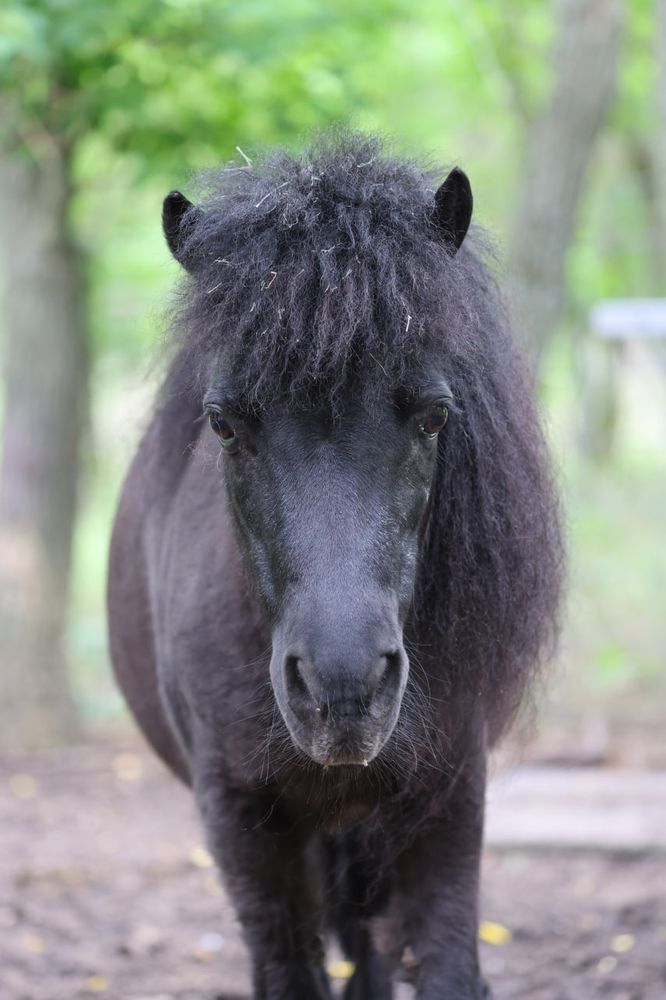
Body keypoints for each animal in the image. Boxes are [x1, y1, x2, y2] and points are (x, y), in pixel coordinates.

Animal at [107, 131, 563, 999]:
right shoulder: (243, 825)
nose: (341, 690)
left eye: (434, 416)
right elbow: (291, 972)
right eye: (223, 423)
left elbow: (445, 964)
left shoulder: (449, 799)